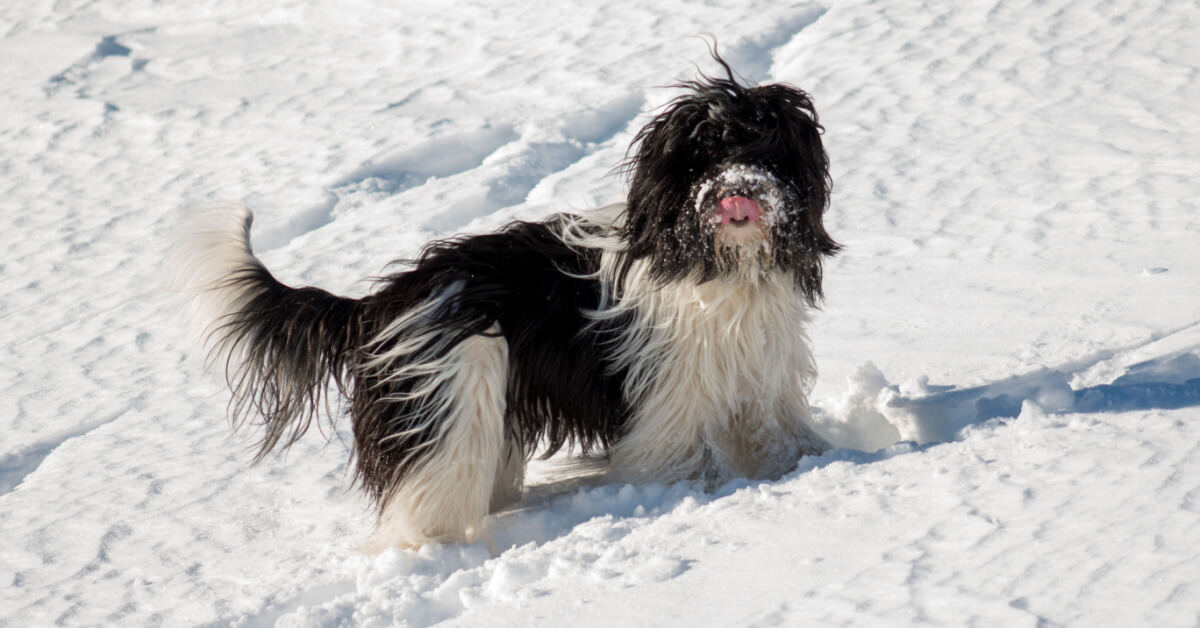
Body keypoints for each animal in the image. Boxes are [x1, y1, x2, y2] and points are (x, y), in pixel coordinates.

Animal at [175, 58, 835, 549]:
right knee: (429, 494)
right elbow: (669, 463)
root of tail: (381, 302)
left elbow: (778, 435)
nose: (737, 190)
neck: (716, 264)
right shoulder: (667, 398)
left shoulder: (761, 376)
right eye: (702, 158)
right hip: (453, 389)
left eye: (766, 151)